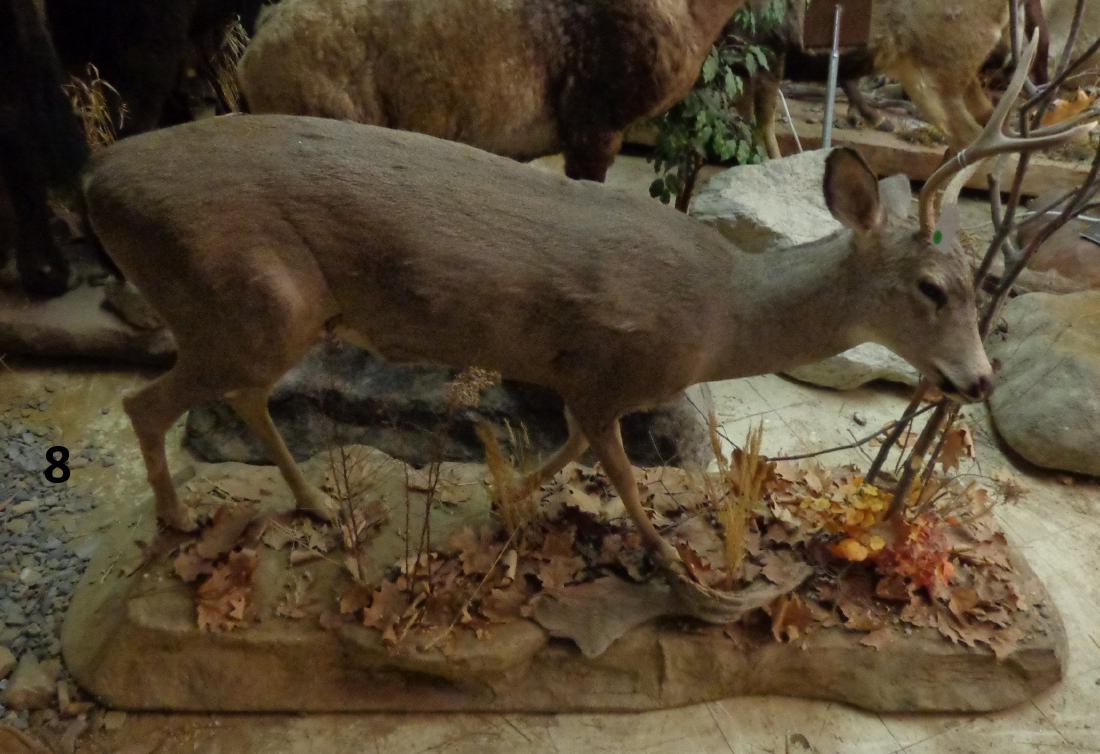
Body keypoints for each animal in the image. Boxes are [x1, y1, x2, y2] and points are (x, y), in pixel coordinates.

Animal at [84, 35, 1081, 622]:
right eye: (932, 287)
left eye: (978, 282)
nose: (978, 379)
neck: (725, 313)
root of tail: (98, 183)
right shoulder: (613, 368)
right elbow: (627, 484)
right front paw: (691, 581)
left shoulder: (582, 381)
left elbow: (561, 456)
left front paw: (509, 504)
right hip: (240, 299)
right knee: (145, 404)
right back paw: (178, 519)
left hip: (265, 315)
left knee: (242, 396)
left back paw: (317, 504)